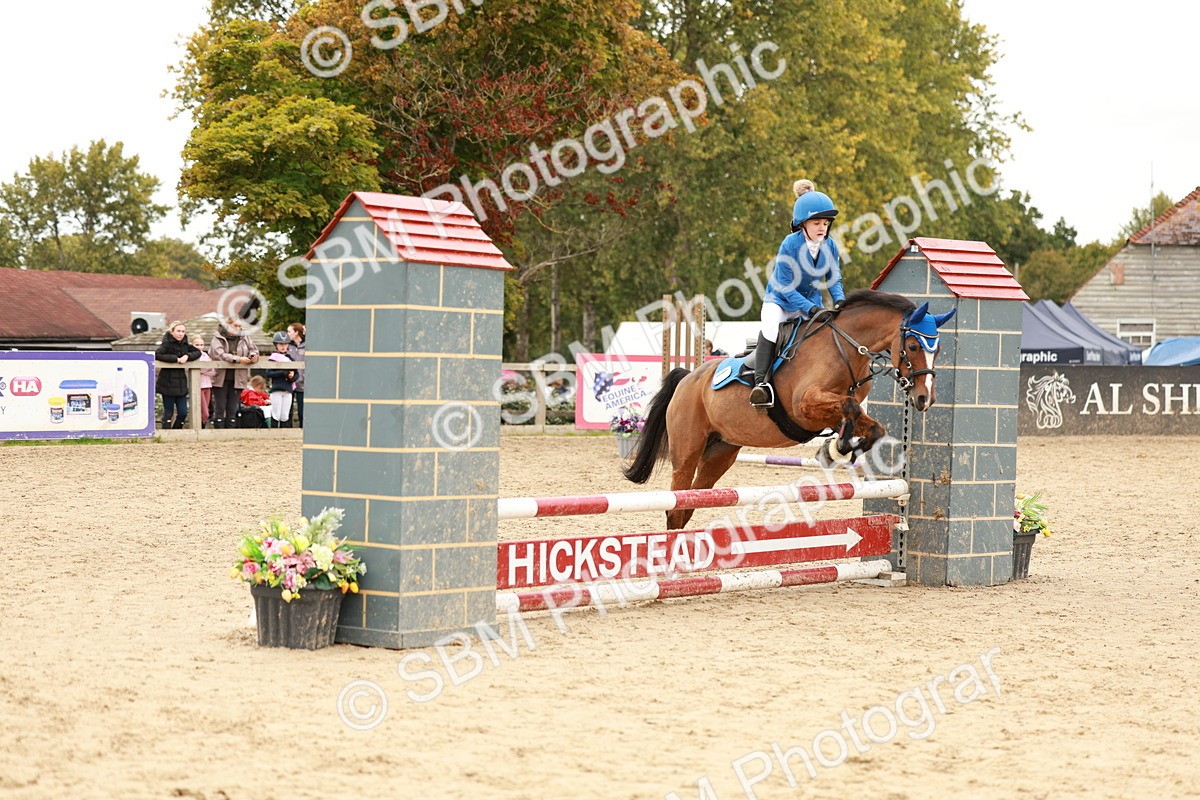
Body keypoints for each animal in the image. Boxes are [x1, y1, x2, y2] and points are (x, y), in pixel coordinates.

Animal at [623, 289, 956, 530]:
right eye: (913, 346)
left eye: (938, 349)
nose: (924, 399)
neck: (846, 348)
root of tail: (688, 378)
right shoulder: (805, 406)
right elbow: (847, 407)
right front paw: (836, 449)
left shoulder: (836, 411)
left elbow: (871, 426)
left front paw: (838, 449)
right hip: (687, 451)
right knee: (676, 504)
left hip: (720, 453)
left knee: (690, 504)